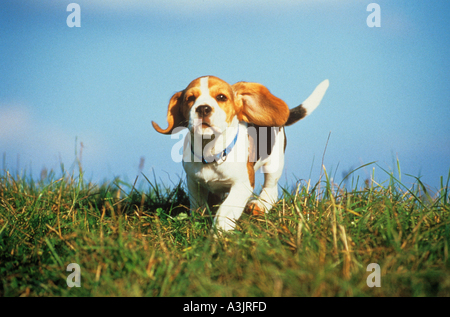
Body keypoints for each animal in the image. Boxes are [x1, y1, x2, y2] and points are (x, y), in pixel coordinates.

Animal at [153, 75, 328, 231]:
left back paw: (259, 206)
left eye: (221, 97)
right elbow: (198, 206)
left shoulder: (242, 184)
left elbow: (224, 211)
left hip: (274, 162)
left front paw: (219, 234)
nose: (203, 108)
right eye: (190, 98)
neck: (212, 151)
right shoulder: (193, 182)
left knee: (271, 189)